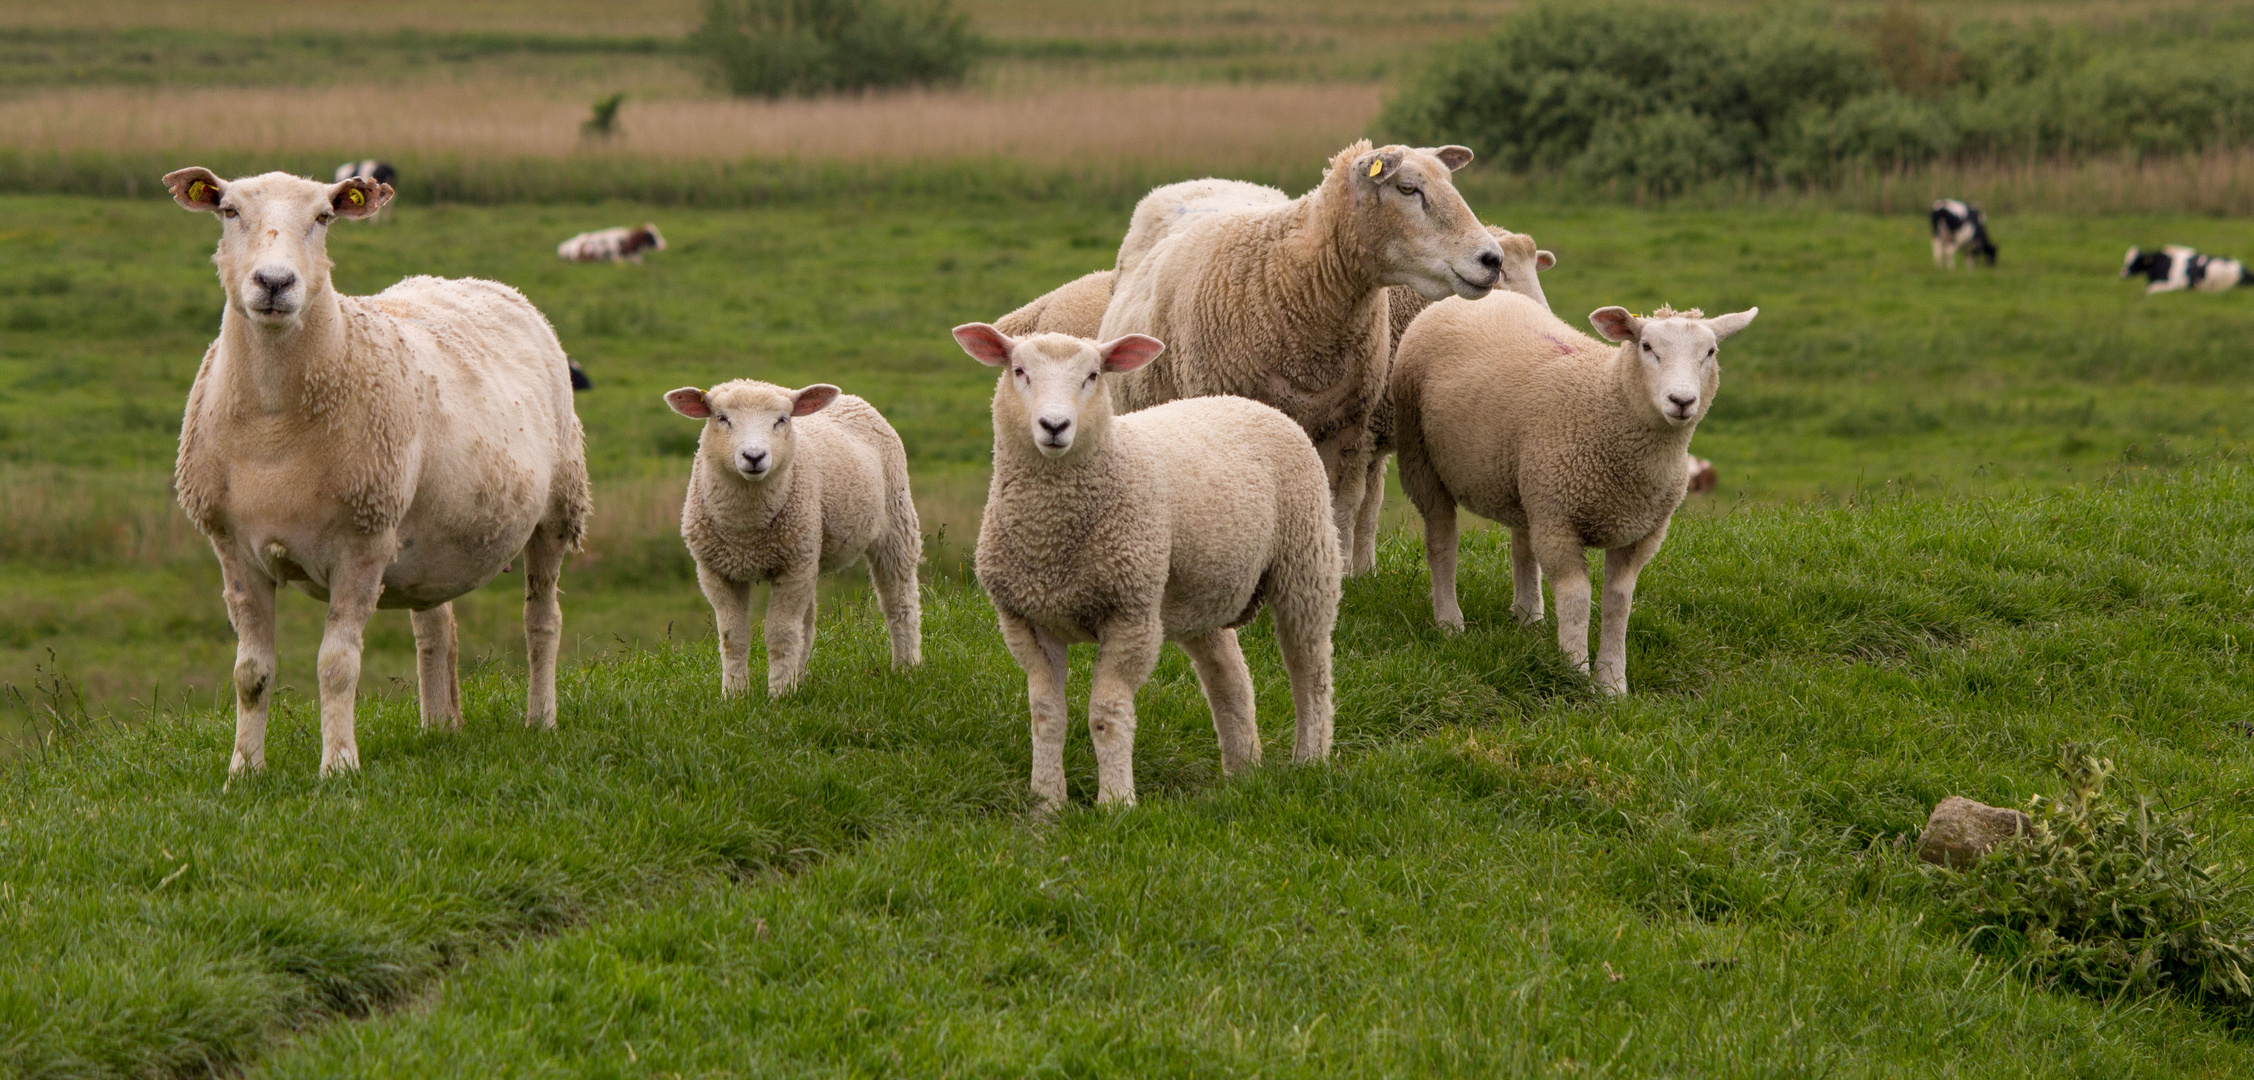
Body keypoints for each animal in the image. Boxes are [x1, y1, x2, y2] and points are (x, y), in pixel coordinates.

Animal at [164, 164, 595, 775]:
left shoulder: (362, 543)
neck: (274, 428)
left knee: (543, 621)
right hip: (435, 535)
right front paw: (244, 770)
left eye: (324, 217)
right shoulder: (234, 551)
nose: (274, 283)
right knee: (436, 627)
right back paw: (440, 726)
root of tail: (480, 283)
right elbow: (250, 673)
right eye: (228, 210)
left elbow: (336, 665)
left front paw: (339, 766)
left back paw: (541, 719)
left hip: (559, 506)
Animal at [662, 385, 919, 698]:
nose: (754, 456)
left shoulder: (792, 568)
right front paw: (735, 695)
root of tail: (852, 399)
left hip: (895, 520)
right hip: (809, 550)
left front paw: (778, 695)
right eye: (721, 418)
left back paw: (906, 668)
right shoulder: (716, 571)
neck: (745, 531)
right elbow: (733, 637)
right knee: (806, 625)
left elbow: (780, 634)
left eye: (782, 420)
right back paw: (800, 679)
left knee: (900, 601)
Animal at [951, 320, 1334, 811]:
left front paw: (1115, 802)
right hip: (1197, 589)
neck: (1049, 539)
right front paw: (1046, 803)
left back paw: (1311, 758)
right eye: (1019, 371)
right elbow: (1045, 715)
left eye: (1093, 375)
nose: (1054, 426)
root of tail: (1244, 401)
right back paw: (1243, 771)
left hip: (1305, 561)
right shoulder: (1026, 619)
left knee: (1310, 669)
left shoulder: (1130, 615)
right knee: (1229, 677)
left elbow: (1106, 714)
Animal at [1388, 293, 1758, 694]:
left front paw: (1612, 682)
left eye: (1710, 351)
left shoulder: (1641, 532)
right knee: (1442, 541)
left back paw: (1528, 617)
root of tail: (1465, 298)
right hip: (1423, 460)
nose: (1682, 401)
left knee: (1522, 544)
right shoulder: (1559, 520)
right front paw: (1574, 671)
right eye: (1646, 346)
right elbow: (1577, 597)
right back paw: (1449, 621)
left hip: (1525, 480)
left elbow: (1618, 602)